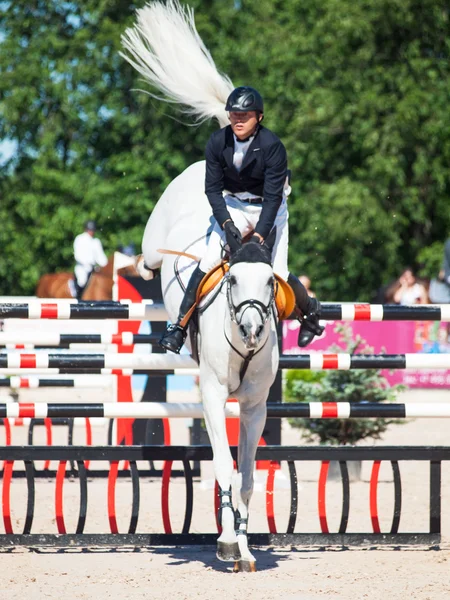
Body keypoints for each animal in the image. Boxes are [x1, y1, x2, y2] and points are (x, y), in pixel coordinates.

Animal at [121, 0, 284, 572]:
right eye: (232, 278)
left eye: (270, 281)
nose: (254, 330)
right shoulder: (213, 394)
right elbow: (224, 468)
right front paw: (231, 545)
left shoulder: (254, 404)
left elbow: (249, 477)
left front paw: (243, 545)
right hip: (157, 240)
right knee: (150, 258)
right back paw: (144, 270)